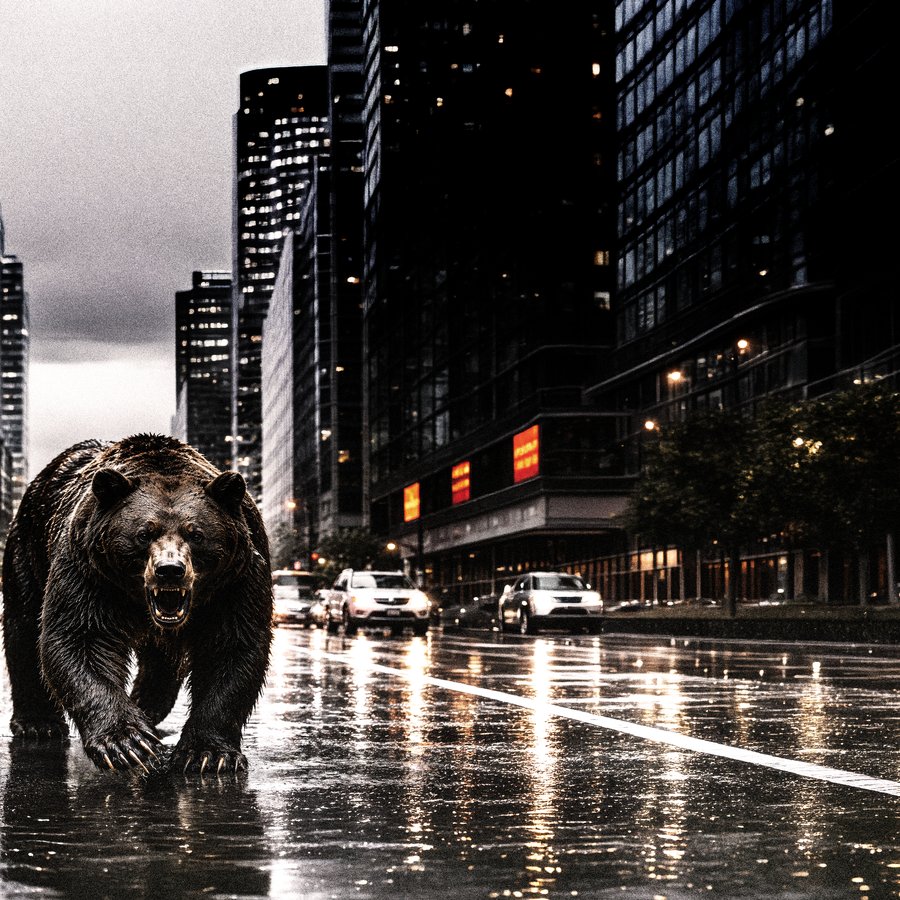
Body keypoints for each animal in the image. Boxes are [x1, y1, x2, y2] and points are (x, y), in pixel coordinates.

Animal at [1, 433, 273, 776]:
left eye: (195, 533)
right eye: (145, 533)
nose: (169, 569)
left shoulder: (236, 581)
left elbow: (232, 649)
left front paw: (207, 753)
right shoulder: (89, 572)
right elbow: (80, 640)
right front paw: (127, 744)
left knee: (161, 661)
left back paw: (145, 707)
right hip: (28, 550)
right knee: (23, 626)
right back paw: (39, 723)